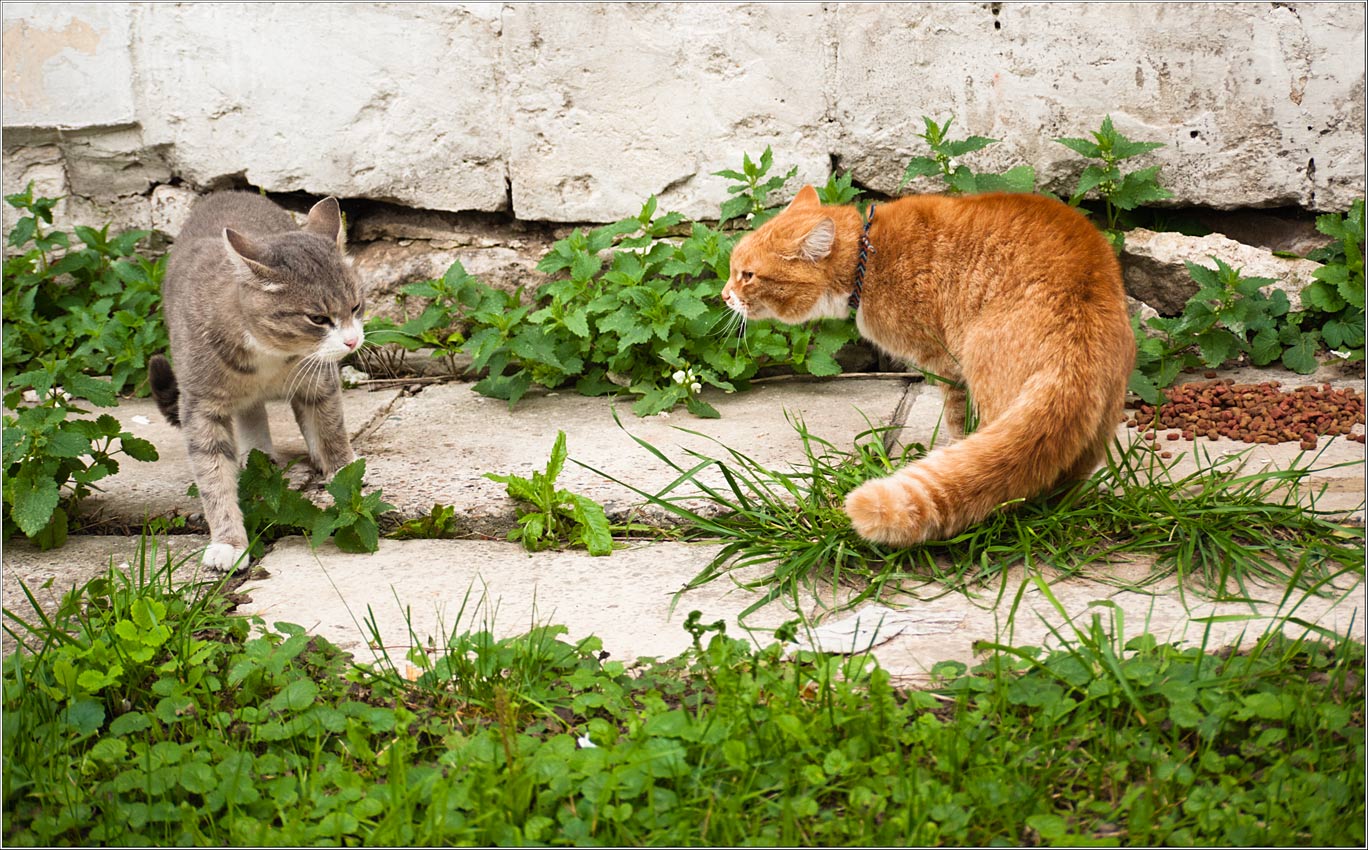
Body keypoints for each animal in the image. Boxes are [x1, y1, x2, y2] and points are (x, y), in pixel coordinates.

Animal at [149, 191, 366, 569]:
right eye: (318, 318)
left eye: (355, 307)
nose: (352, 341)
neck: (270, 357)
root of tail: (228, 193)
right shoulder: (200, 405)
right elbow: (213, 472)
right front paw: (228, 542)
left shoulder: (318, 378)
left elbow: (330, 426)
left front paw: (343, 471)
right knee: (250, 411)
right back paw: (257, 456)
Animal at [727, 184, 1132, 544]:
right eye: (733, 270)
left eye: (748, 275)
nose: (724, 295)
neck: (867, 258)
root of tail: (1077, 326)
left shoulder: (943, 362)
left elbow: (956, 420)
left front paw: (950, 448)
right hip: (1100, 418)